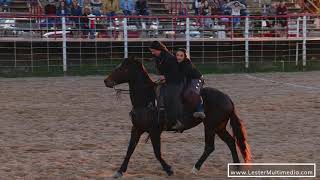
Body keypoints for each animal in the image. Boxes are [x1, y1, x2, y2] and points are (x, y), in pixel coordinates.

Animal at [104, 57, 251, 178]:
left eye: (123, 68)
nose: (106, 81)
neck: (147, 99)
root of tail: (228, 99)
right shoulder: (136, 129)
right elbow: (130, 150)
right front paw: (119, 171)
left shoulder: (154, 131)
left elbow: (157, 152)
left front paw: (169, 169)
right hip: (219, 127)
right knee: (231, 141)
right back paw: (236, 167)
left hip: (210, 126)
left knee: (210, 147)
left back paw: (195, 168)